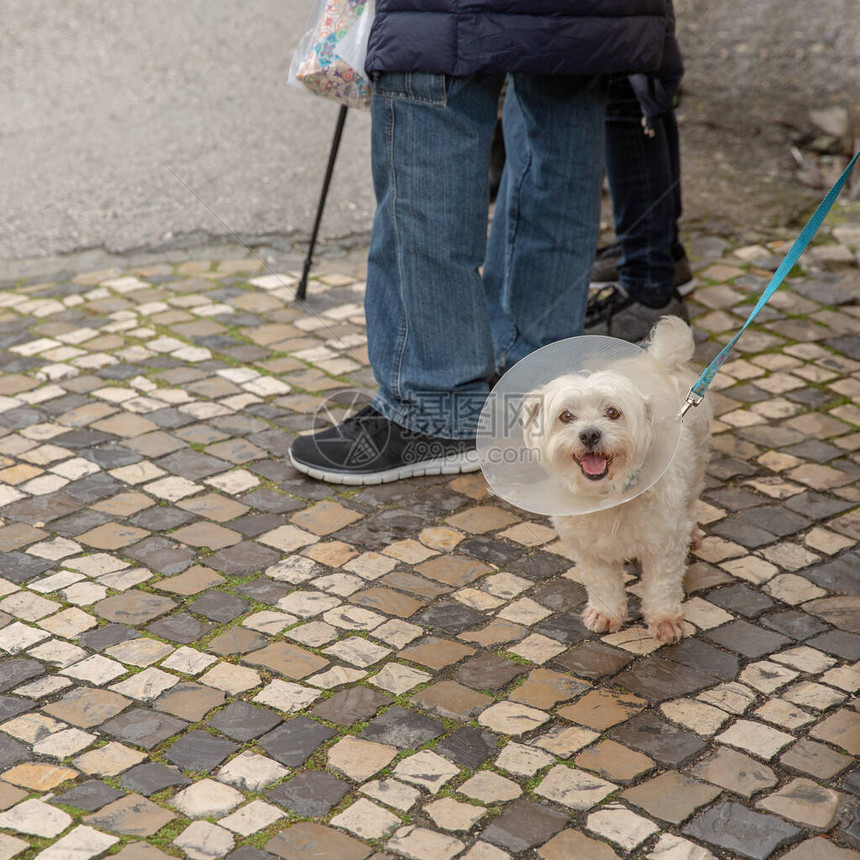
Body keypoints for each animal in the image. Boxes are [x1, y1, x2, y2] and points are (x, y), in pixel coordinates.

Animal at [524, 314, 712, 640]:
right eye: (566, 416)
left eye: (613, 412)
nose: (589, 434)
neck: (609, 495)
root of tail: (662, 360)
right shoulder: (589, 549)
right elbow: (602, 582)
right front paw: (607, 613)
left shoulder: (665, 543)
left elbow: (662, 585)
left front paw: (664, 620)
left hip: (696, 465)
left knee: (691, 501)